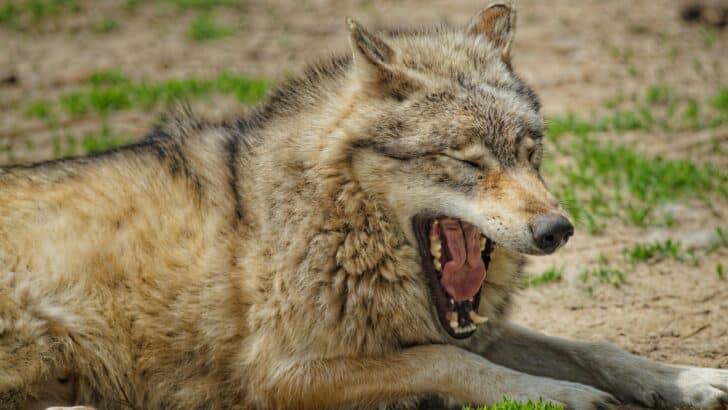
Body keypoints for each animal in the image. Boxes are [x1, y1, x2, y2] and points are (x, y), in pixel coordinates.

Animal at [1, 3, 727, 409]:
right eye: (470, 163)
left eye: (531, 154)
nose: (557, 229)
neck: (332, 226)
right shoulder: (279, 375)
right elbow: (453, 362)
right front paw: (565, 398)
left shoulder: (469, 327)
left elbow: (593, 346)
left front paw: (687, 380)